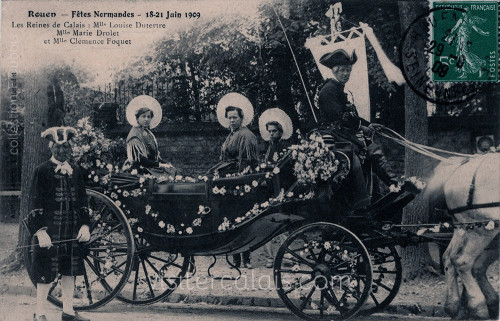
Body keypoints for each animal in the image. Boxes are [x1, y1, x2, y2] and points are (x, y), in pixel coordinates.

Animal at [428, 152, 498, 318]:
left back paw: (454, 306)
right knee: (462, 261)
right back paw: (478, 306)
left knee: (450, 258)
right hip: (482, 230)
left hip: (464, 229)